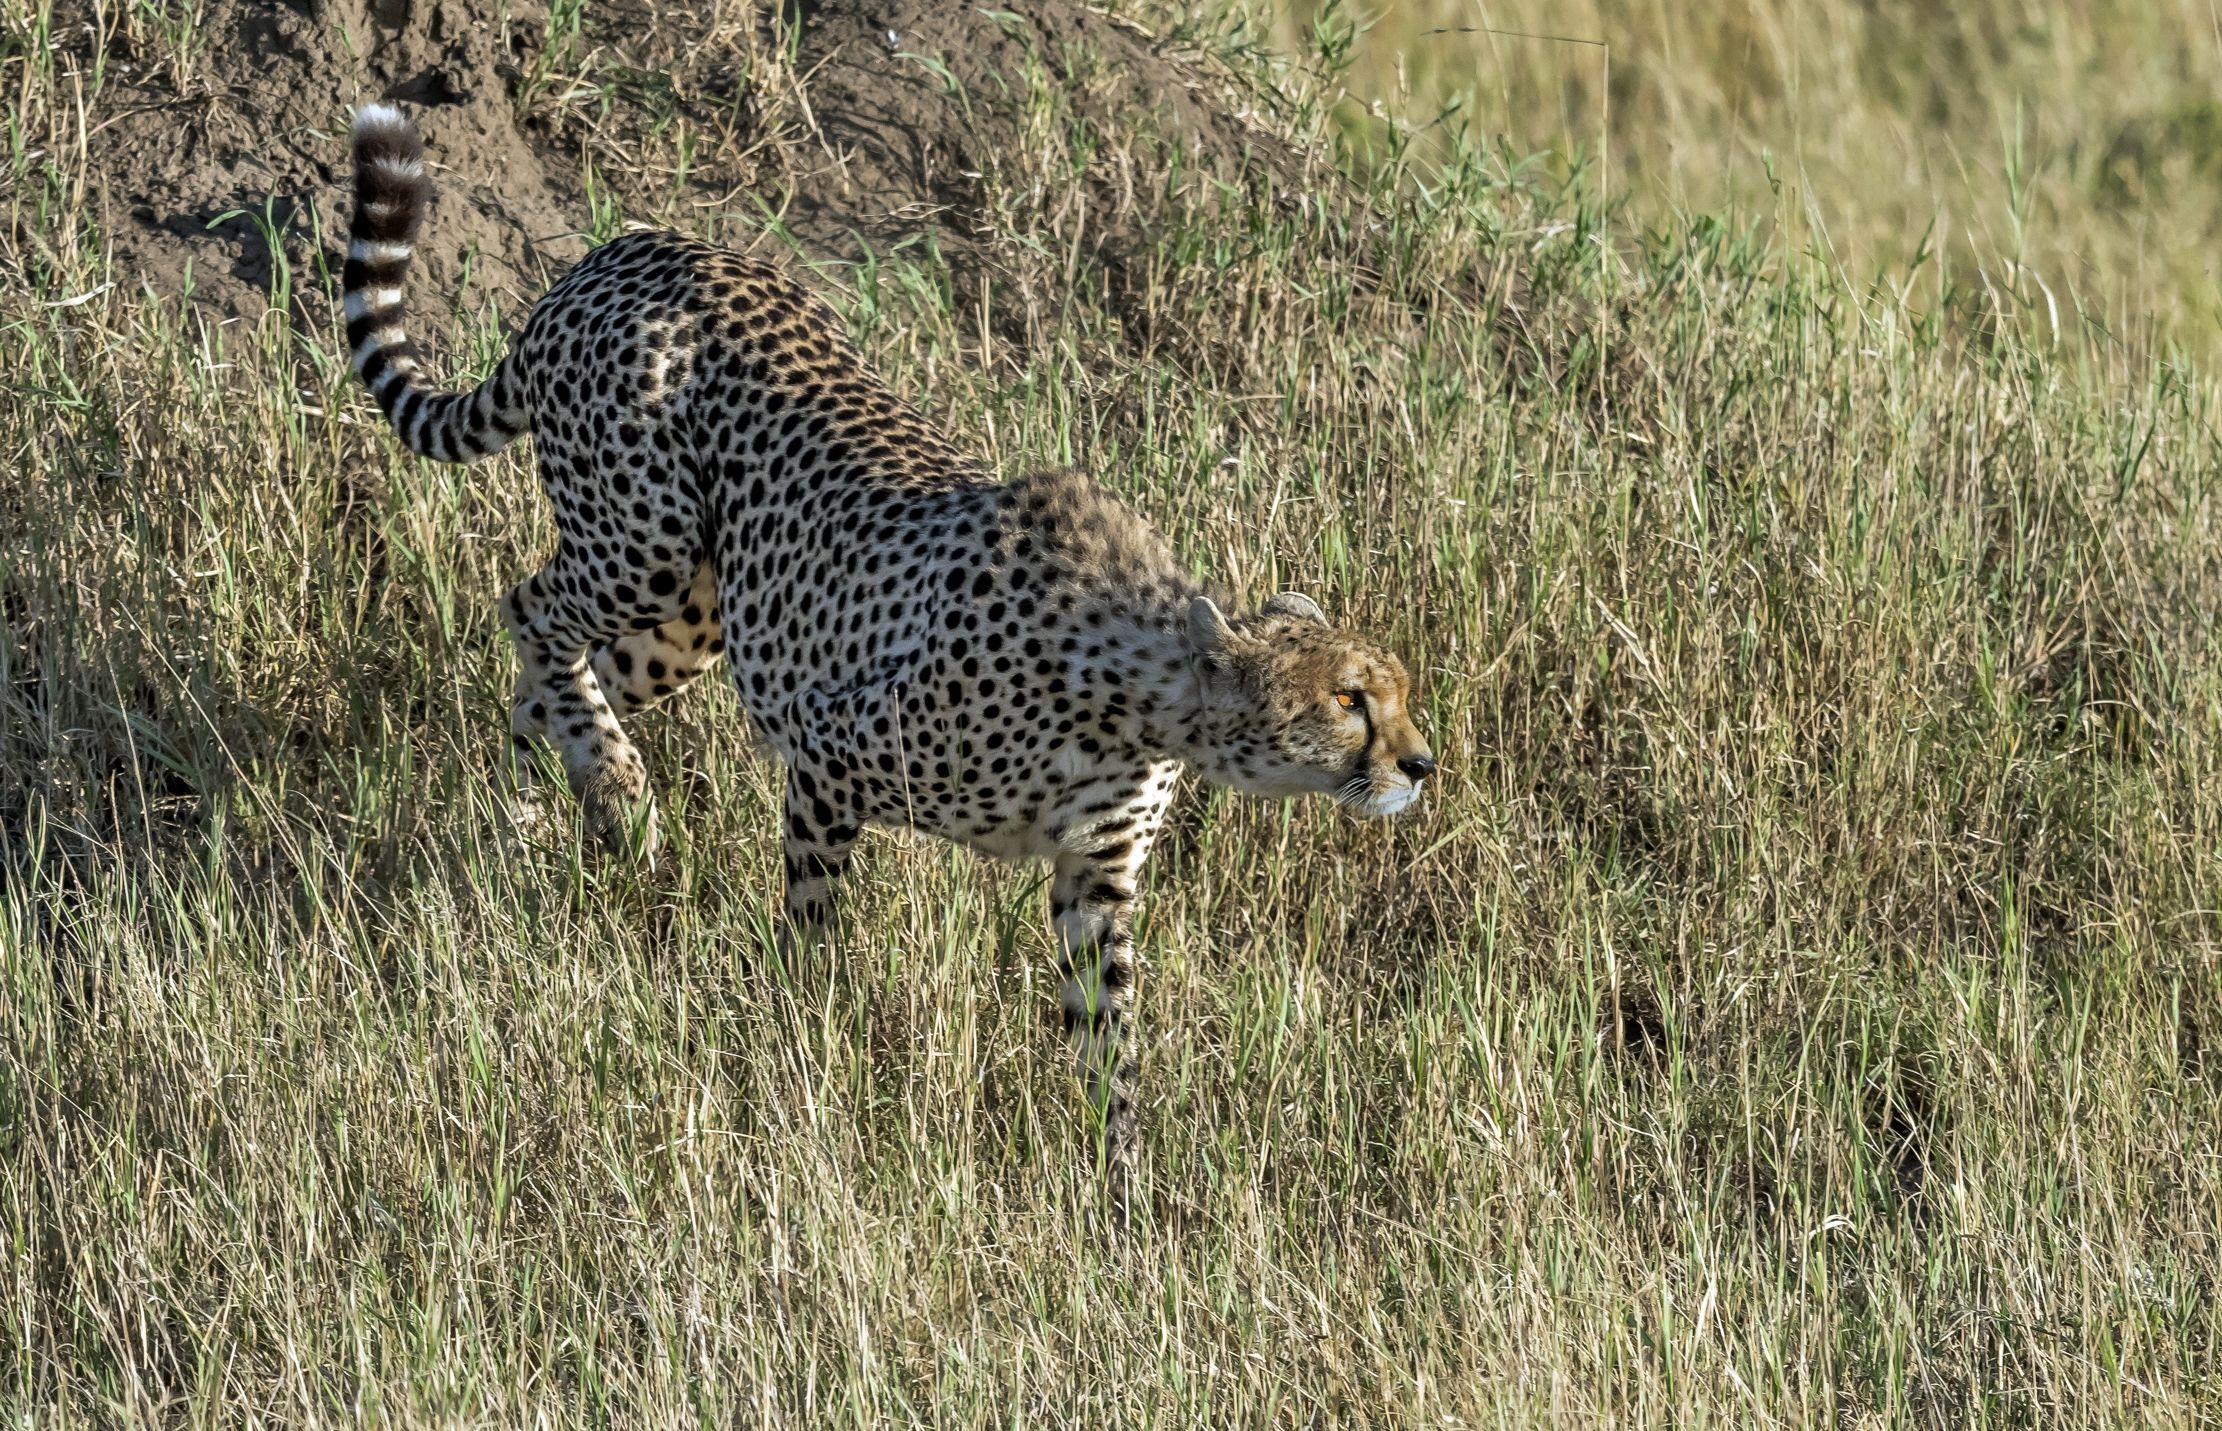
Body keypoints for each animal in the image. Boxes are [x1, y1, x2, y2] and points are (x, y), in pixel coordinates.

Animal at [344, 102, 1437, 1196]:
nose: (1422, 765)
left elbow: (1109, 1031)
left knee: (569, 673)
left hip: (699, 607)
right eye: (1349, 698)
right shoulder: (831, 763)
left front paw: (1120, 1179)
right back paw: (613, 786)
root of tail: (637, 245)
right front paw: (803, 1048)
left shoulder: (1092, 876)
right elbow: (814, 930)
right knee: (528, 608)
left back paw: (536, 814)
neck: (1142, 694)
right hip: (640, 541)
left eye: (1391, 692)